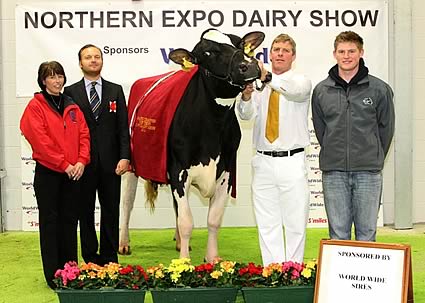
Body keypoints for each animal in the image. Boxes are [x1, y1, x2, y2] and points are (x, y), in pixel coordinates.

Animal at [121, 29, 264, 262]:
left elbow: (213, 219)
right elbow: (187, 221)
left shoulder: (225, 172)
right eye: (207, 52)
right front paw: (184, 263)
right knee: (127, 202)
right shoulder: (178, 171)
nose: (250, 65)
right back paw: (124, 244)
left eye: (240, 44)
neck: (212, 129)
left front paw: (212, 259)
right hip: (131, 165)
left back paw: (180, 242)